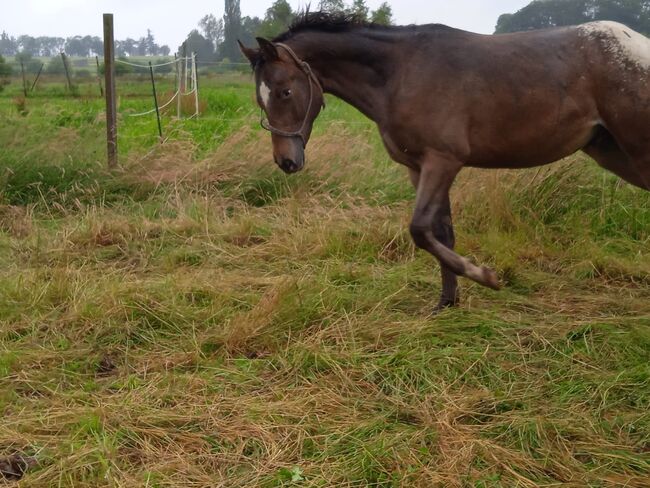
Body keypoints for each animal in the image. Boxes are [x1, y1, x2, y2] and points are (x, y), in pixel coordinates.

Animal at [238, 13, 648, 310]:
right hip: (611, 152)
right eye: (259, 99)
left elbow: (420, 229)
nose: (286, 161)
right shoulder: (417, 167)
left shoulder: (443, 161)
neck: (400, 72)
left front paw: (485, 276)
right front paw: (447, 302)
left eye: (284, 91)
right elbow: (442, 231)